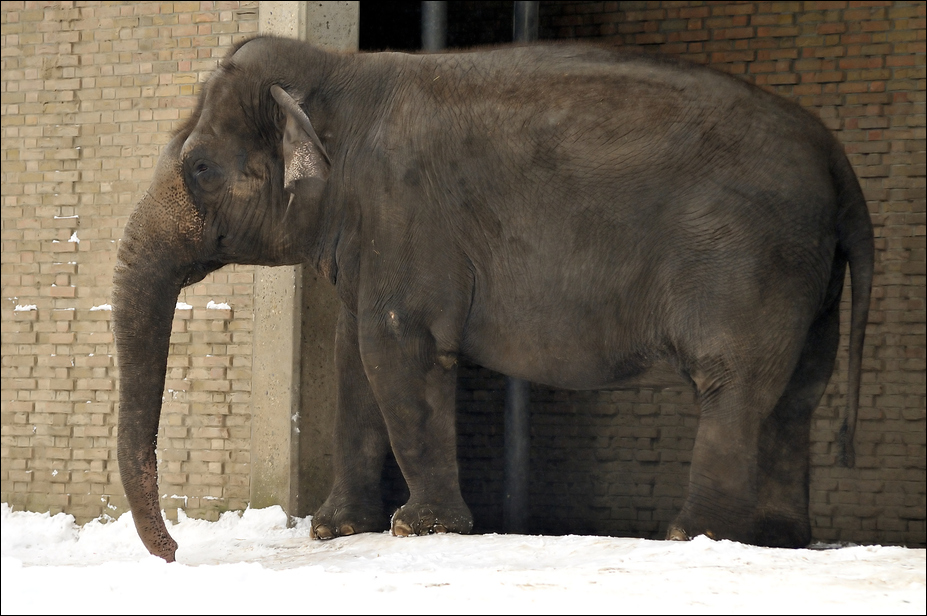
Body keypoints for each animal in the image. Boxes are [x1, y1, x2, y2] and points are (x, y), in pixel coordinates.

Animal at [112, 36, 873, 562]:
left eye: (200, 168)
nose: (175, 553)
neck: (340, 71)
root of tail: (839, 164)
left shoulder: (405, 214)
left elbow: (395, 349)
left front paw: (419, 528)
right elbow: (352, 357)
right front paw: (334, 530)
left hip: (747, 258)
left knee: (732, 384)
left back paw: (693, 535)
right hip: (808, 275)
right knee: (796, 395)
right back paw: (777, 539)